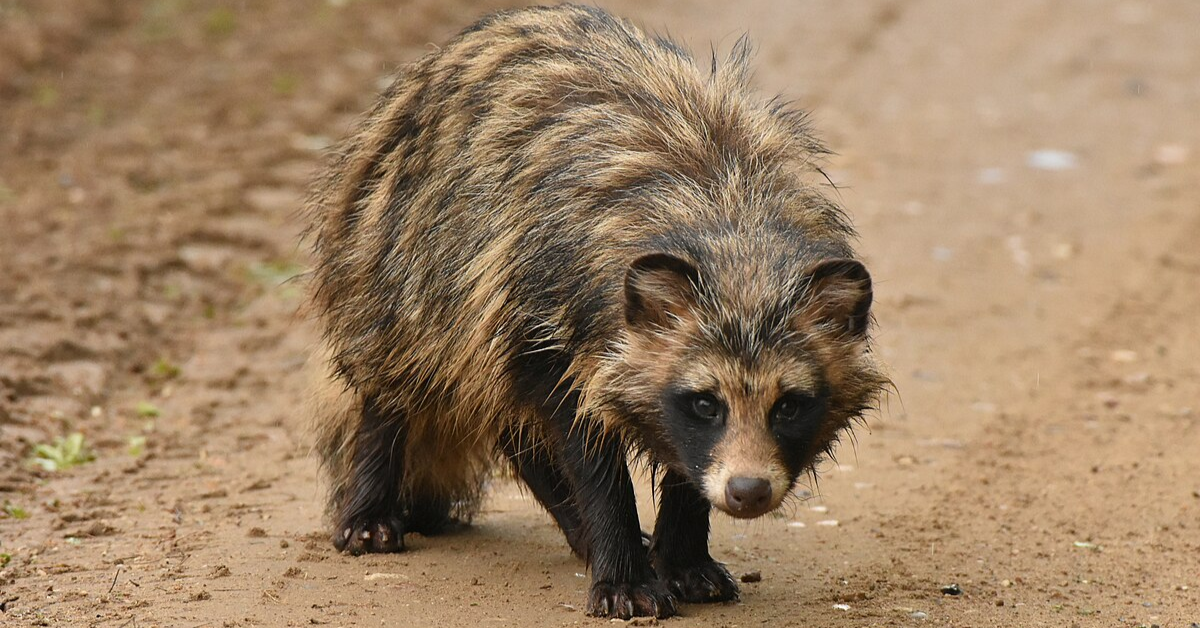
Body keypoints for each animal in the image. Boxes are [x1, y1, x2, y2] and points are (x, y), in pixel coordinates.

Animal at [306, 4, 886, 619]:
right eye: (706, 403)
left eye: (789, 405)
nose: (747, 492)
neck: (728, 226)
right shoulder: (543, 310)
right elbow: (589, 449)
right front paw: (622, 563)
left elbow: (674, 456)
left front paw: (682, 553)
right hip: (397, 253)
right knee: (401, 372)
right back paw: (373, 495)